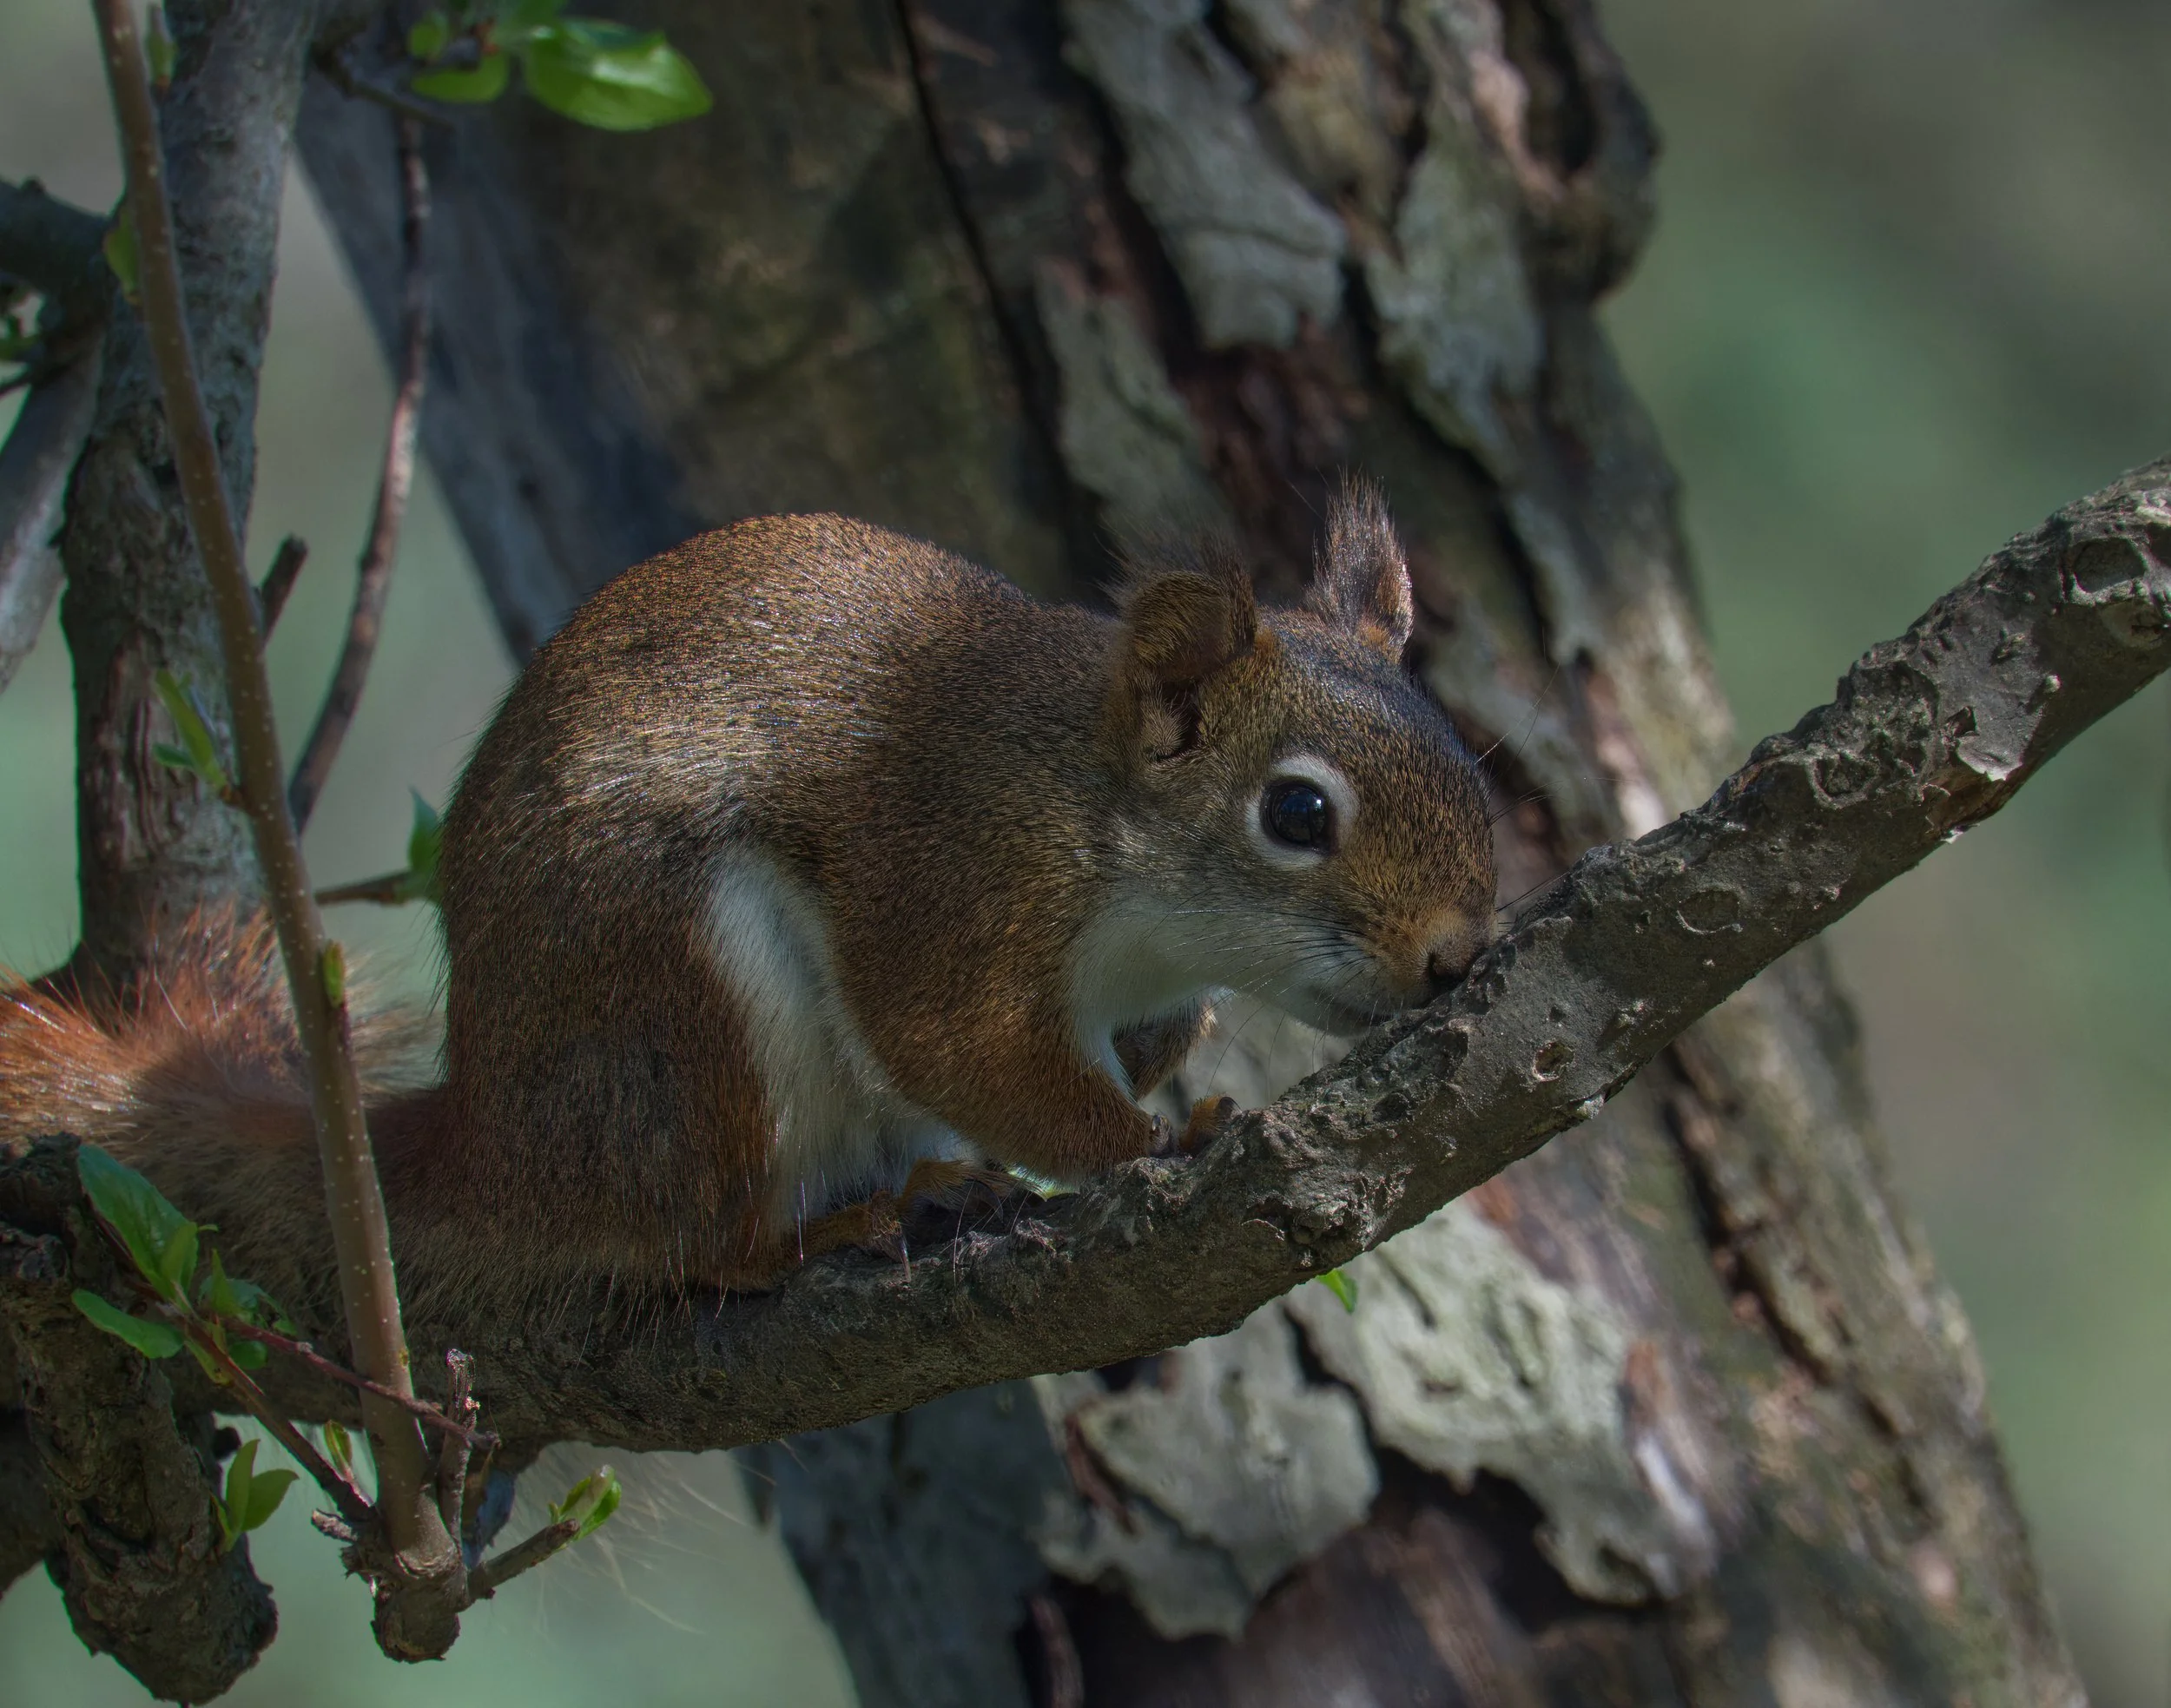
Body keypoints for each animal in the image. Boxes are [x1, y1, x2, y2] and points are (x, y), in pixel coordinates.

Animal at [0, 483, 1496, 1322]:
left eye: (1468, 760)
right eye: (1297, 814)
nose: (1455, 957)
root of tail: (500, 1138)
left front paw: (1174, 1072)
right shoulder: (957, 882)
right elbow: (957, 1042)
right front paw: (1154, 1138)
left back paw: (932, 1186)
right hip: (680, 993)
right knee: (703, 1244)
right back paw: (824, 1230)